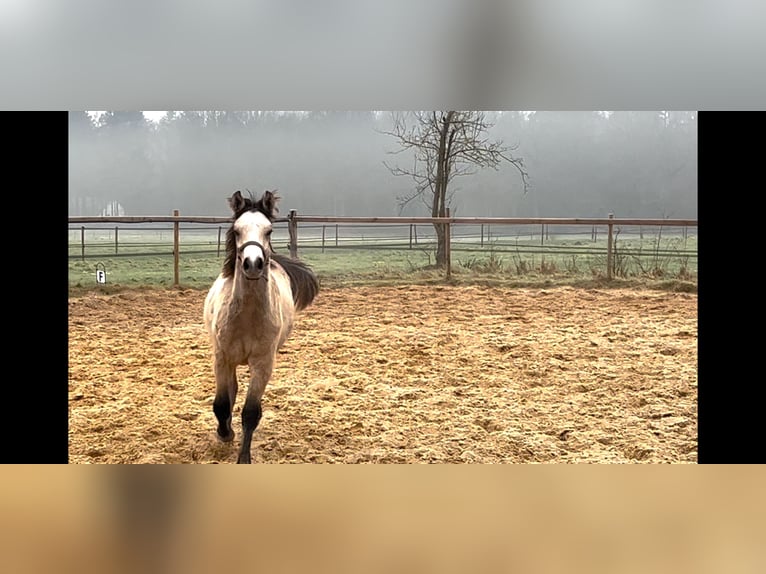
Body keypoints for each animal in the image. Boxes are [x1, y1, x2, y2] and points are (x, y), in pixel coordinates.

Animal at [202, 191, 320, 466]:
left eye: (269, 230)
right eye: (236, 230)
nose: (253, 263)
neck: (246, 317)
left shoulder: (263, 363)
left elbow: (251, 412)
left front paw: (243, 457)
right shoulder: (222, 358)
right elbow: (221, 403)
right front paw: (224, 434)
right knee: (231, 390)